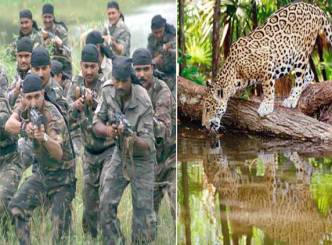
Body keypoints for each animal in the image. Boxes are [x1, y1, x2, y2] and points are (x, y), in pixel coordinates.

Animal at [202, 1, 332, 132]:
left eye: (208, 108)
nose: (204, 125)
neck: (234, 73)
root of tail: (313, 6)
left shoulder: (267, 64)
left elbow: (268, 88)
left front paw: (267, 106)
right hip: (290, 57)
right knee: (310, 74)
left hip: (301, 54)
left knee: (300, 78)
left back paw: (292, 99)